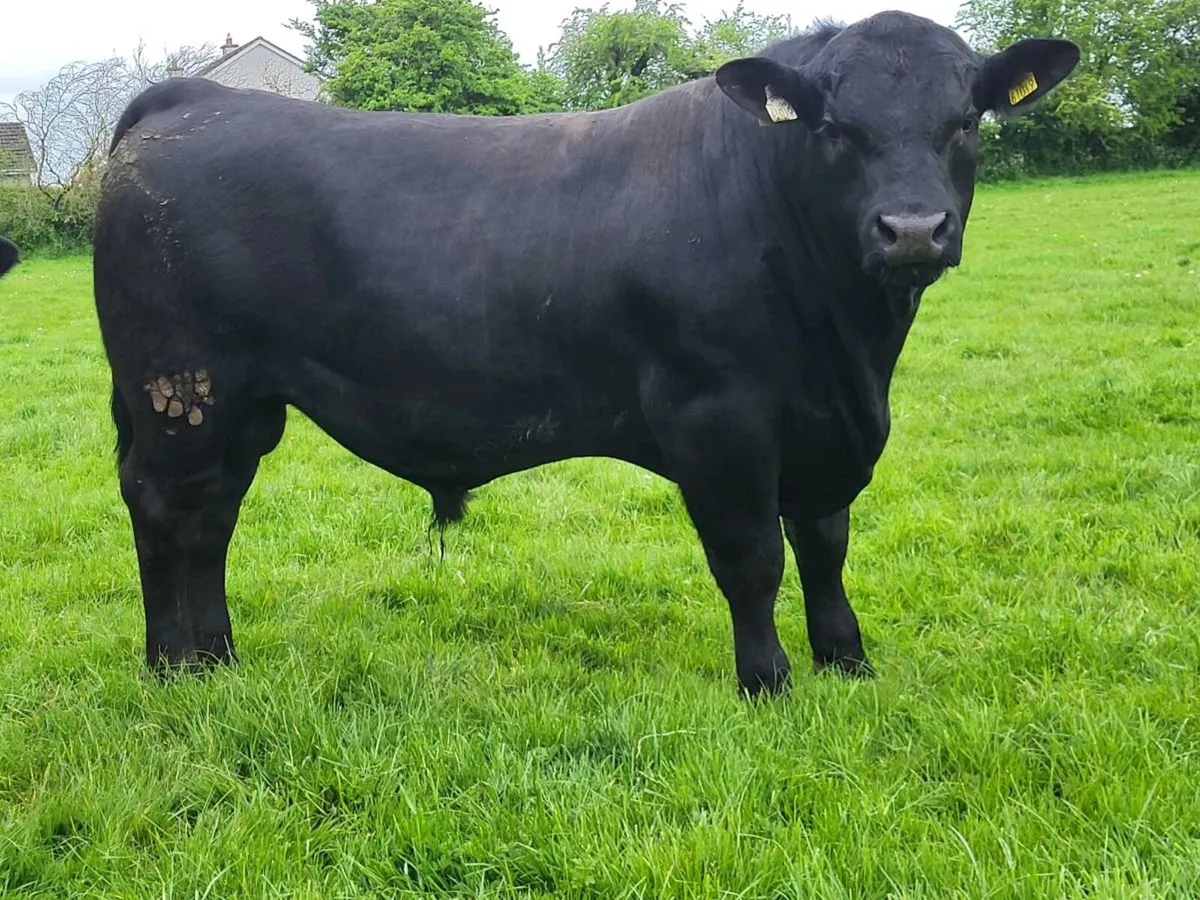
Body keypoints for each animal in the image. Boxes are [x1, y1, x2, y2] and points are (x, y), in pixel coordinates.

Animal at [92, 11, 1078, 697]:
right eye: (833, 125)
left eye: (966, 120)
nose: (911, 229)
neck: (853, 349)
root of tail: (195, 97)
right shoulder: (718, 419)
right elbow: (754, 557)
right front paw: (768, 683)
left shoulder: (822, 428)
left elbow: (826, 544)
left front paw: (848, 661)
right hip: (180, 387)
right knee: (169, 510)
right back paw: (171, 666)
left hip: (241, 403)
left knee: (213, 516)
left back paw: (216, 657)